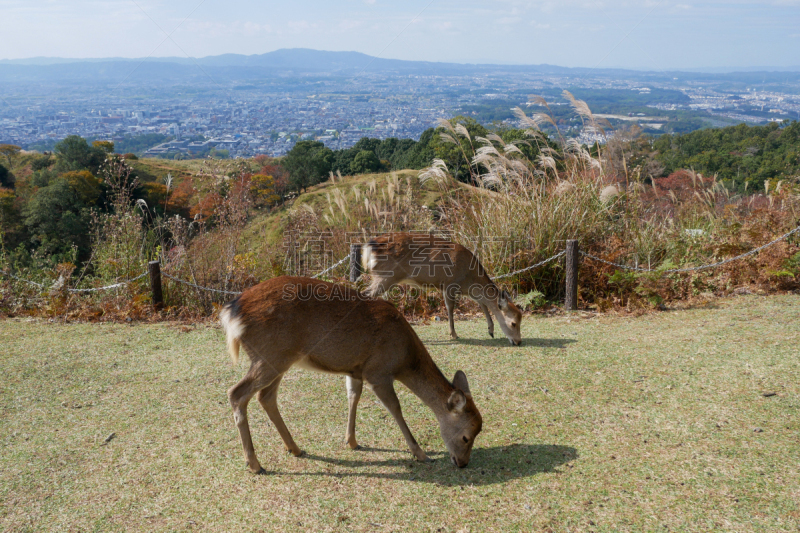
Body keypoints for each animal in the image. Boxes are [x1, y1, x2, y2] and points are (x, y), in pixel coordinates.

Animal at [219, 276, 482, 472]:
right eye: (466, 436)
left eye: (479, 430)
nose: (462, 463)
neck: (404, 358)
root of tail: (232, 312)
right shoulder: (378, 371)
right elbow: (395, 407)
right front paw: (421, 453)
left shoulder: (356, 370)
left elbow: (353, 397)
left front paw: (352, 441)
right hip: (270, 355)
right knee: (236, 393)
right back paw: (255, 464)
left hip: (279, 359)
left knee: (266, 397)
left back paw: (294, 448)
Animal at [362, 233, 524, 344]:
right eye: (513, 323)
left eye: (521, 319)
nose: (518, 342)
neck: (469, 277)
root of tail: (369, 246)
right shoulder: (449, 284)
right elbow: (450, 308)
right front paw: (454, 334)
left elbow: (482, 303)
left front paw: (491, 330)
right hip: (386, 276)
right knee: (364, 294)